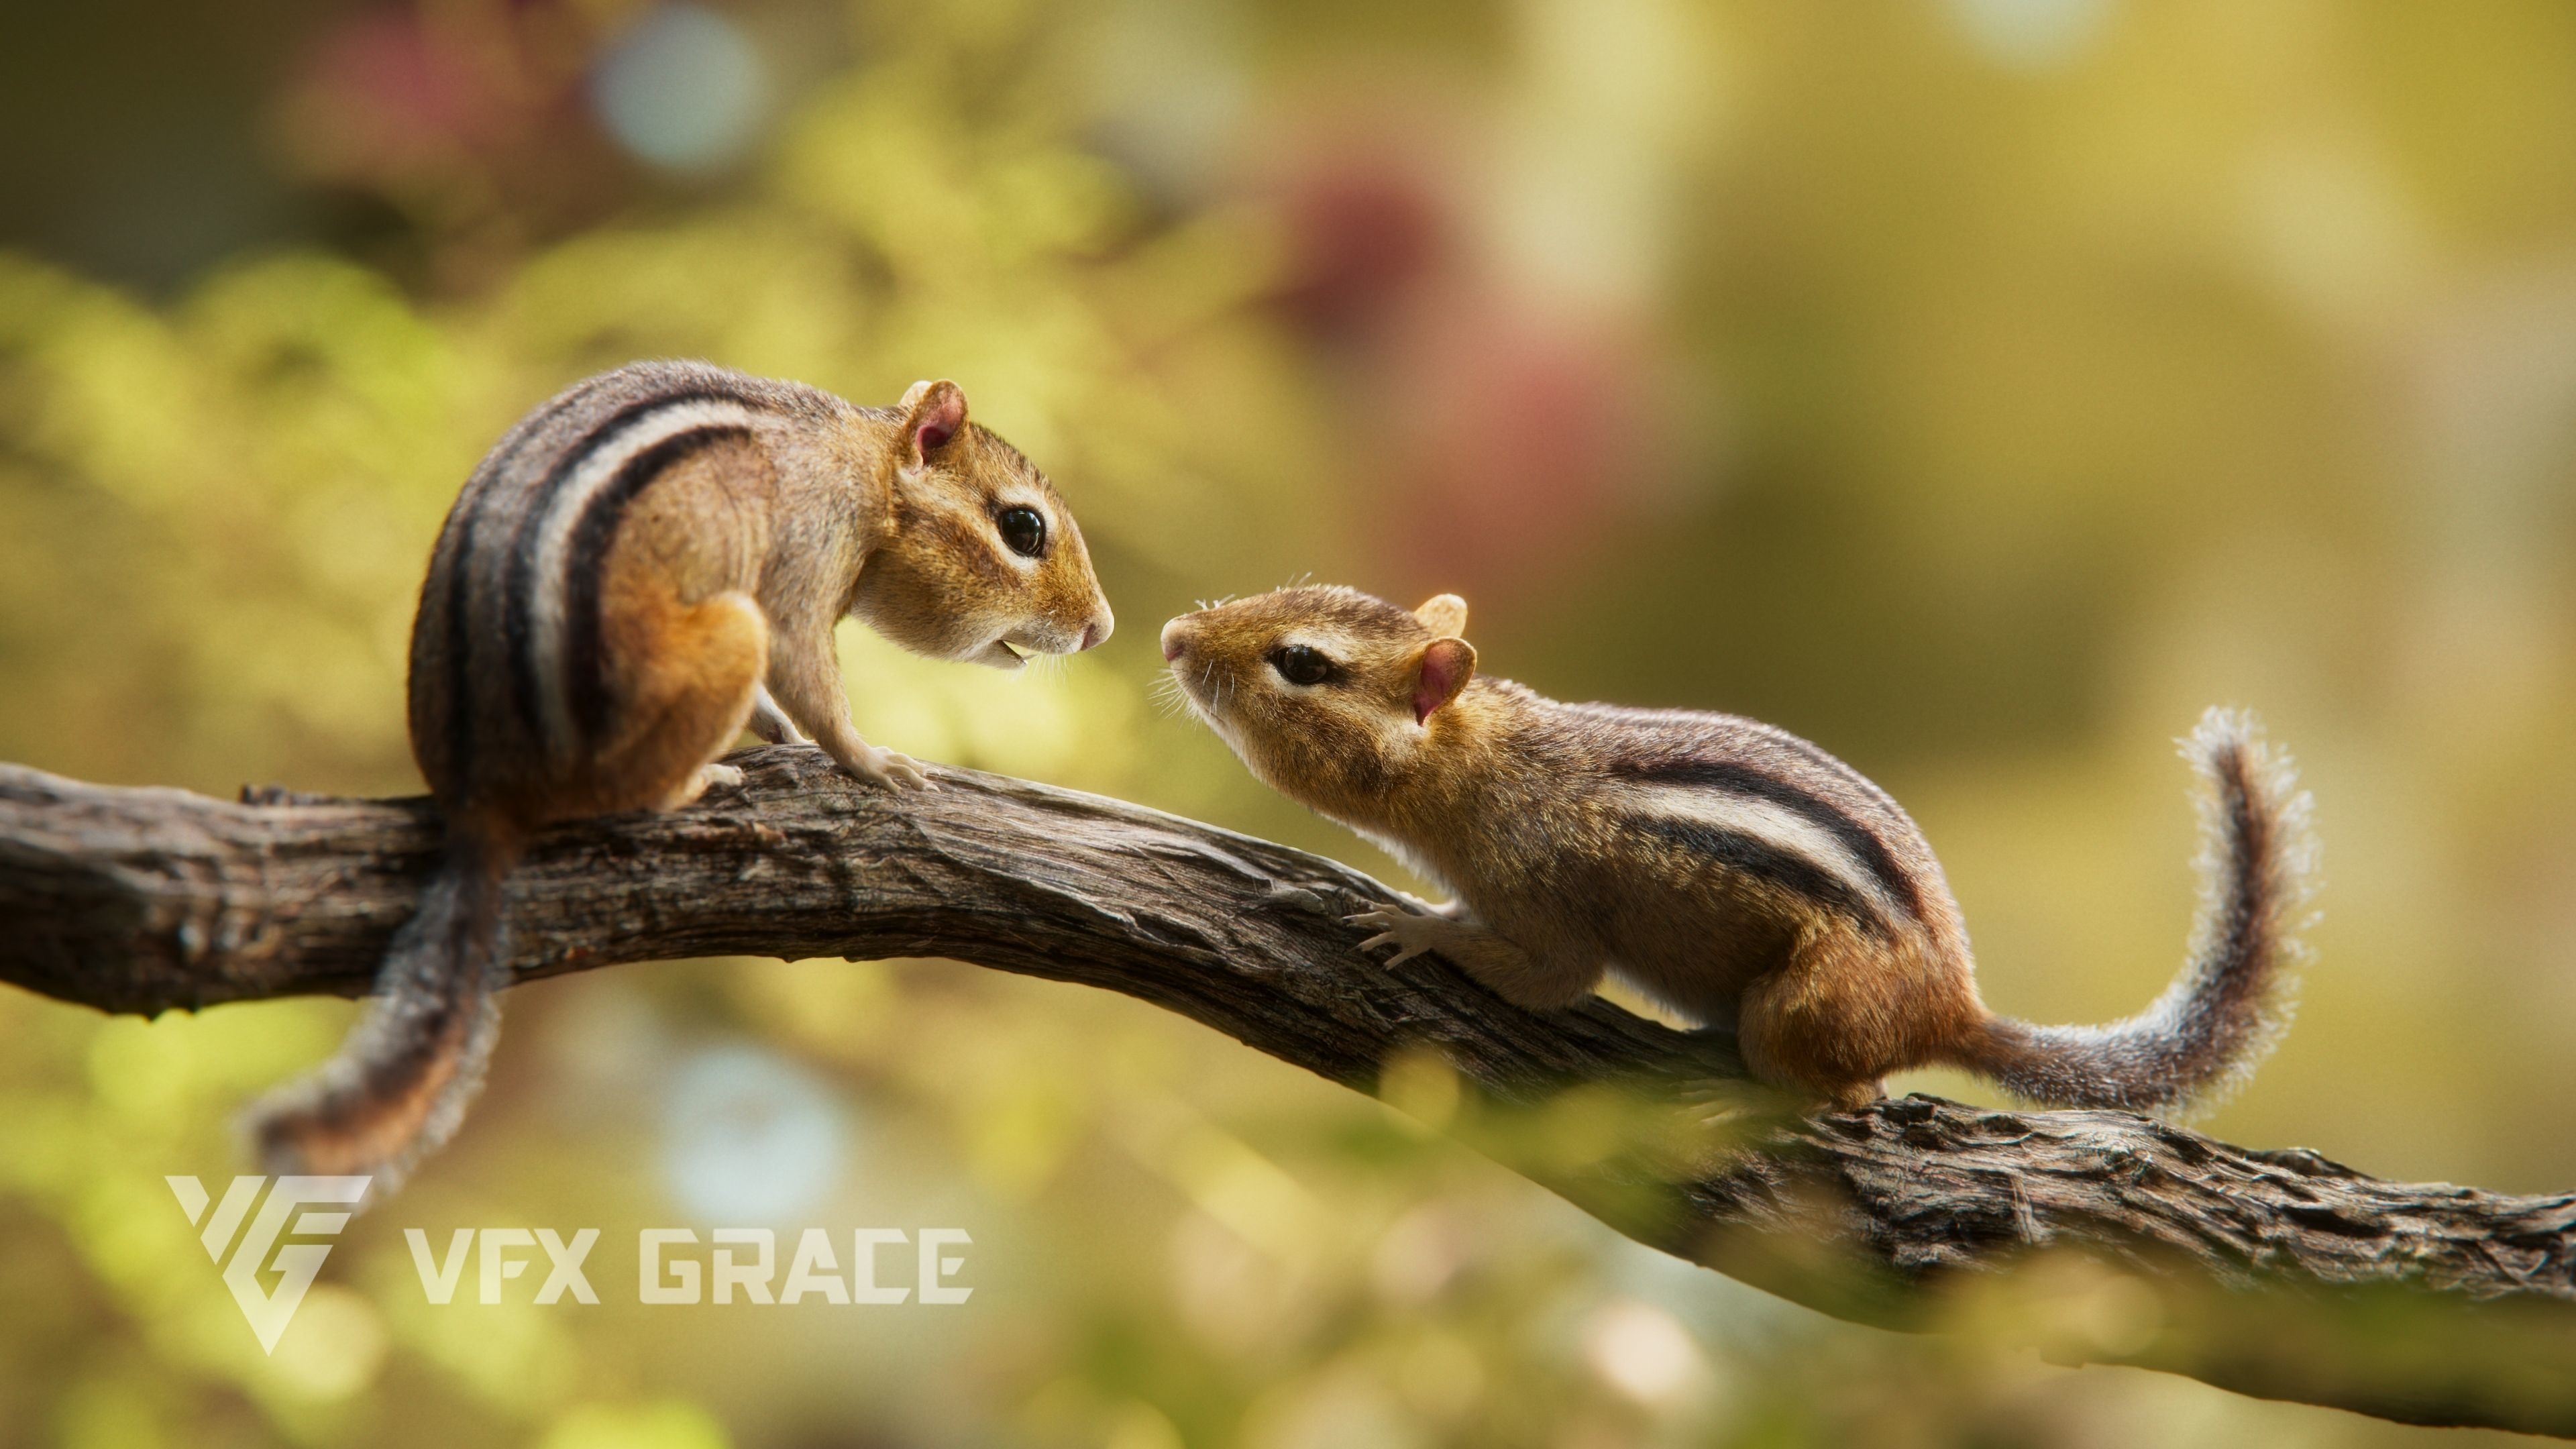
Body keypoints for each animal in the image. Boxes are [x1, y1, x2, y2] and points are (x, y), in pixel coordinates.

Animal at [249, 360, 1115, 1187]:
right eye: (1023, 528)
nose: (1101, 629)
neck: (866, 464)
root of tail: (479, 793)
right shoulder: (809, 553)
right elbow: (809, 671)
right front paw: (872, 761)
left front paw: (778, 730)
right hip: (727, 632)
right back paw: (701, 784)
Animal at [1160, 585, 2314, 1114]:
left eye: (1302, 664)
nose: (1173, 635)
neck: (1479, 760)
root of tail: (1955, 1004)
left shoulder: (1545, 898)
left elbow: (1547, 976)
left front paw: (1406, 924)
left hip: (1803, 1009)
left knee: (1852, 1098)